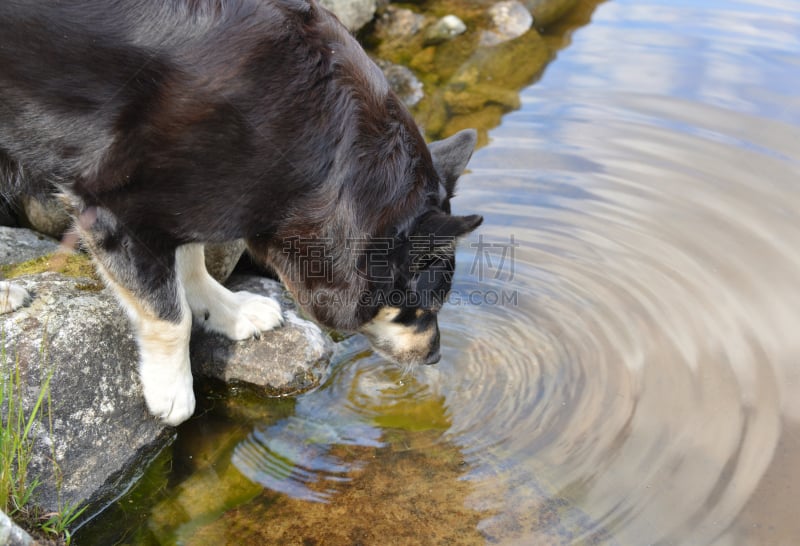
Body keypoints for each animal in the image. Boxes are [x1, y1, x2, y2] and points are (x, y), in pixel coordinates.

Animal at [0, 0, 482, 422]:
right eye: (421, 308)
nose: (436, 356)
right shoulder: (111, 206)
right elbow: (168, 315)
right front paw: (172, 389)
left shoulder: (194, 192)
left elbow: (190, 258)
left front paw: (225, 310)